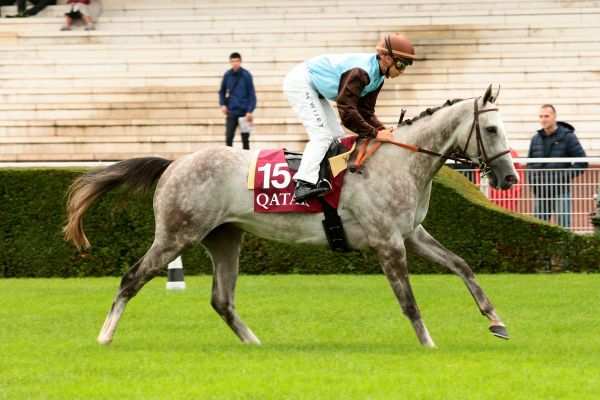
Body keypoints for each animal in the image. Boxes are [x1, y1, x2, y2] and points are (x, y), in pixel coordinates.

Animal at [64, 85, 518, 348]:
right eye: (492, 129)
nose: (510, 177)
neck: (398, 162)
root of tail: (174, 163)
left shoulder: (410, 233)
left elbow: (461, 265)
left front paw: (496, 321)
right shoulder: (388, 242)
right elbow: (408, 300)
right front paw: (429, 345)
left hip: (224, 237)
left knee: (221, 300)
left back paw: (256, 345)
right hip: (176, 235)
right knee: (131, 278)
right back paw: (104, 336)